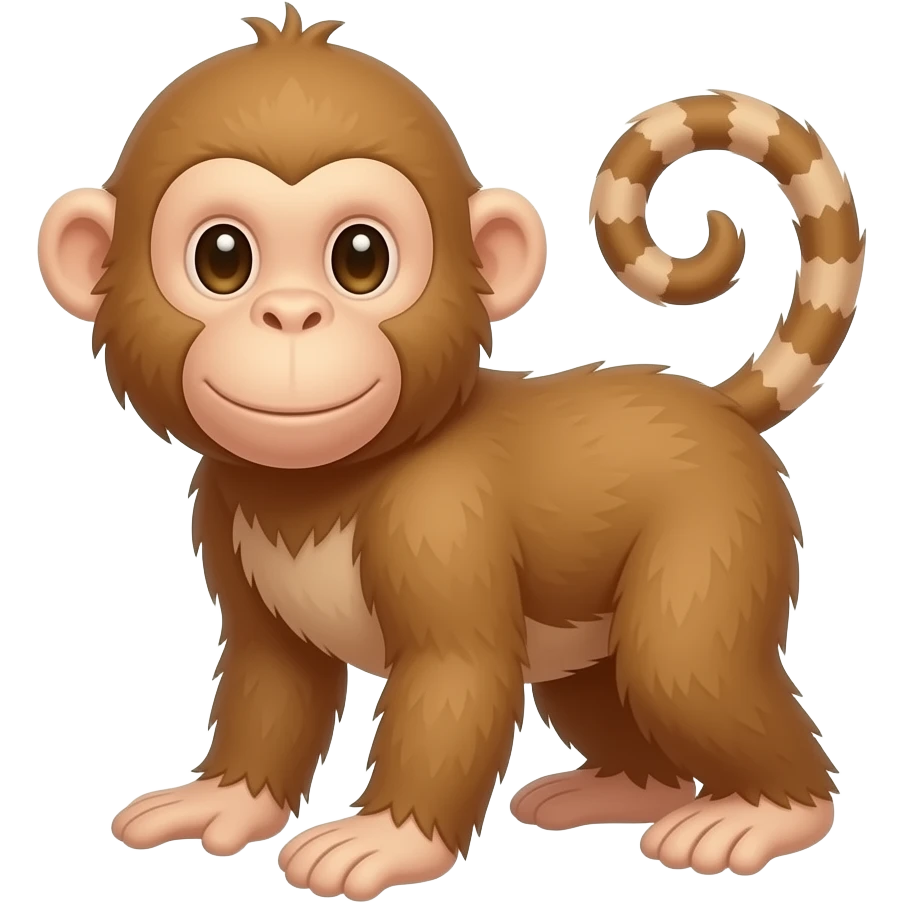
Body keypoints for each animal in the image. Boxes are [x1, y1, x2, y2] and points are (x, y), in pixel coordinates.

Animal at [36, 4, 862, 899]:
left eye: (360, 258)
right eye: (222, 258)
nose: (290, 315)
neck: (331, 481)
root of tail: (710, 403)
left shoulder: (435, 517)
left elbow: (455, 675)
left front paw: (388, 837)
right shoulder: (224, 516)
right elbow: (273, 677)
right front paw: (223, 798)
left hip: (715, 528)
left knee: (681, 663)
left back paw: (770, 811)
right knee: (599, 689)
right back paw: (621, 787)